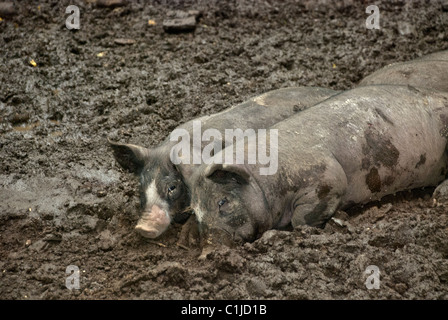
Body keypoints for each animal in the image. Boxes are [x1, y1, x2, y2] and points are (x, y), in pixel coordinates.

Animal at [188, 84, 448, 244]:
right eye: (199, 216)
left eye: (222, 202)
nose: (209, 251)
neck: (266, 181)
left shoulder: (327, 177)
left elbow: (301, 219)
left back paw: (439, 196)